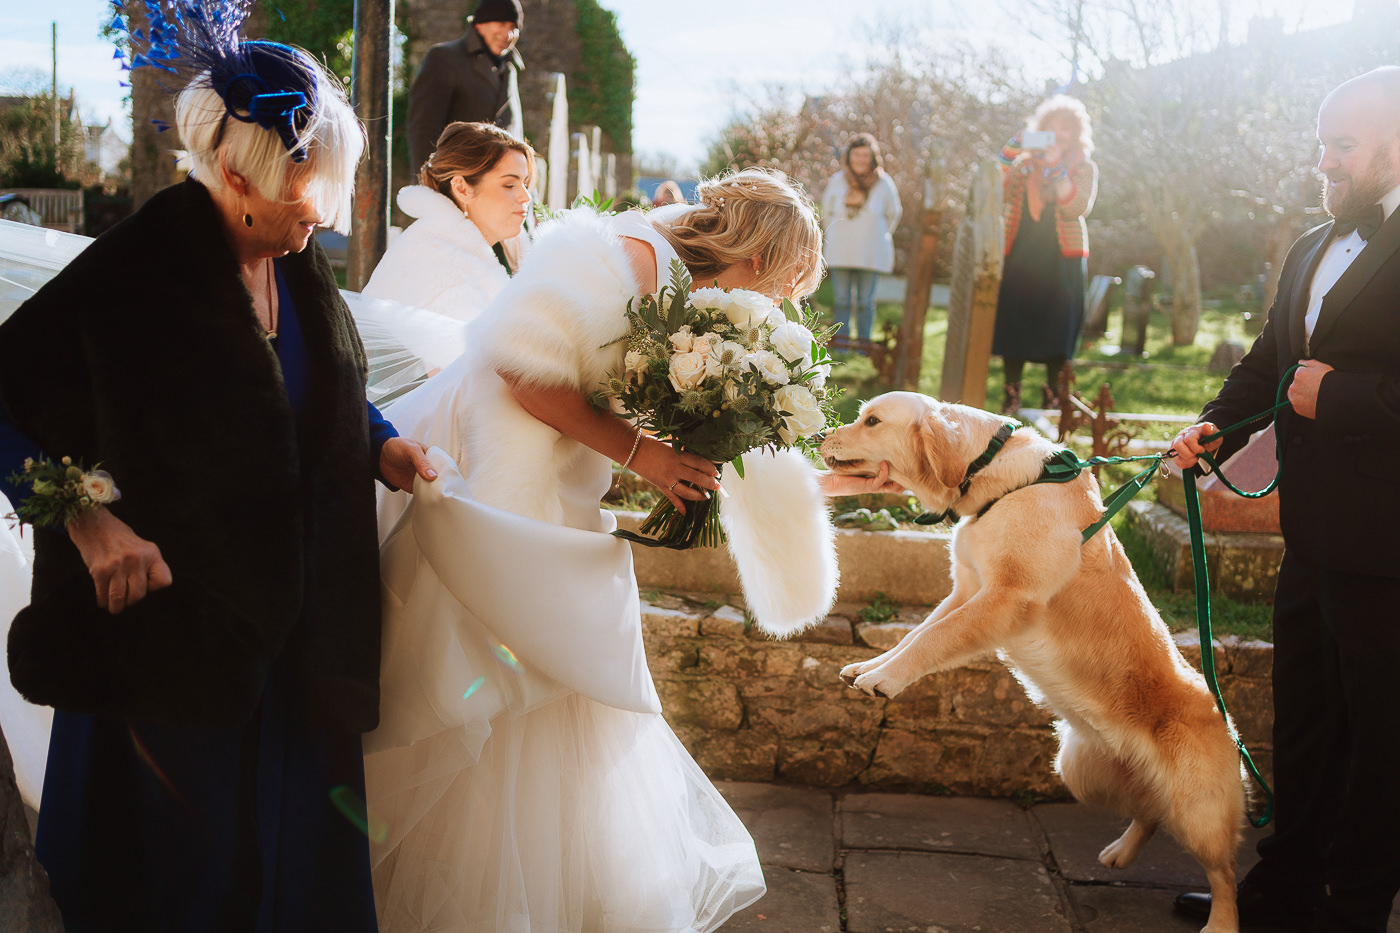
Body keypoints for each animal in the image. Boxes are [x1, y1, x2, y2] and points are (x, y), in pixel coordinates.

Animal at [817, 389, 1248, 930]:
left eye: (872, 421)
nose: (819, 435)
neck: (991, 476)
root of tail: (1223, 713)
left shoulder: (1004, 598)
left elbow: (931, 640)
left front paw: (884, 679)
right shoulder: (967, 590)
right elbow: (918, 633)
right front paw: (871, 666)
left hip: (1199, 810)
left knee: (1224, 873)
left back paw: (1220, 921)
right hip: (1080, 771)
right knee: (1150, 812)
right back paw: (1121, 852)